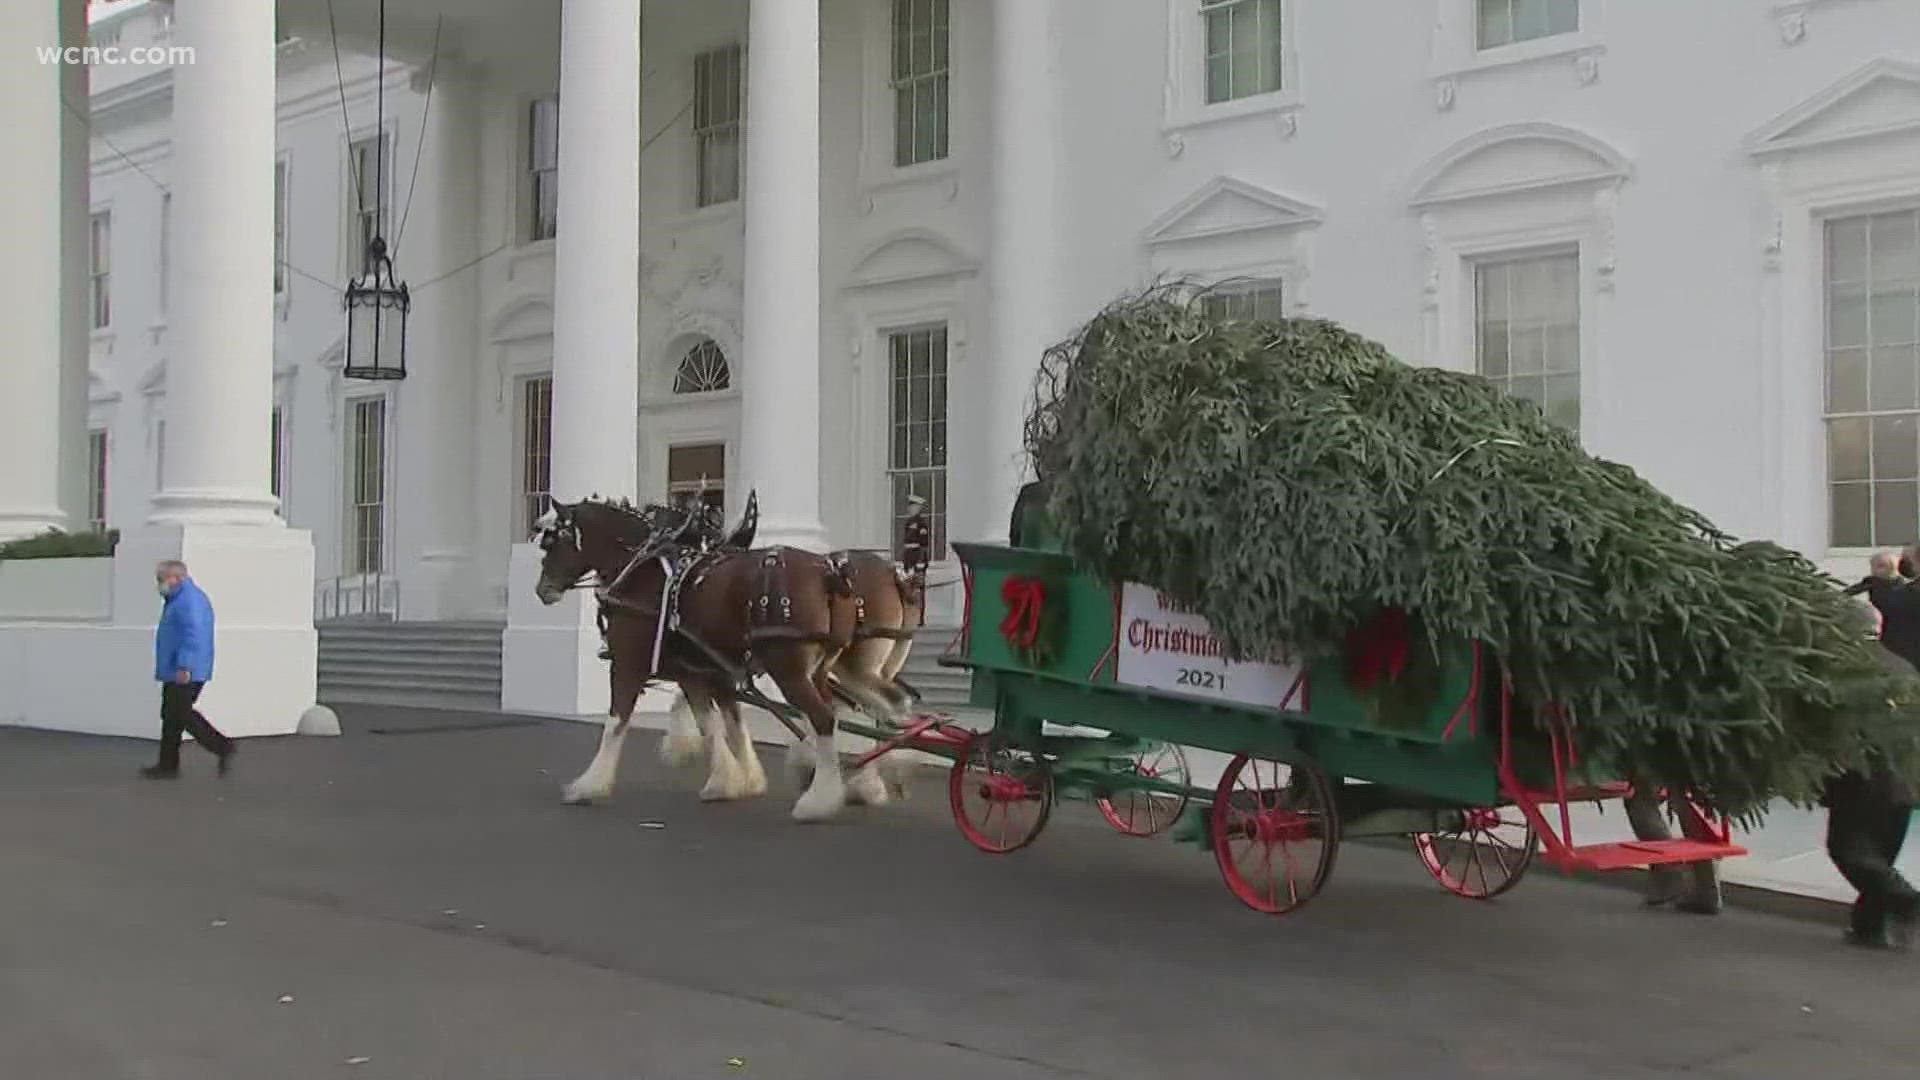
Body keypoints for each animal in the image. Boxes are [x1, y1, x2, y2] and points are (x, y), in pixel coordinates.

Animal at [529, 495, 894, 814]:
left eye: (551, 541)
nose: (542, 589)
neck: (644, 571)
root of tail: (829, 572)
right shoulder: (700, 672)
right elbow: (719, 725)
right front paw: (734, 780)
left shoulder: (629, 665)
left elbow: (615, 724)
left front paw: (588, 785)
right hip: (817, 668)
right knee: (844, 711)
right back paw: (857, 779)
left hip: (787, 668)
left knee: (824, 718)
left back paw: (820, 799)